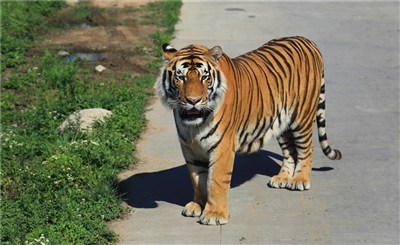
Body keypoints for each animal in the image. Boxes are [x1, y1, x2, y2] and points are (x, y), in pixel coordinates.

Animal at [155, 36, 340, 226]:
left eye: (204, 77)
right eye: (180, 77)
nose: (193, 101)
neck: (194, 126)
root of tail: (307, 40)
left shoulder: (222, 146)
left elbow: (216, 181)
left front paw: (214, 214)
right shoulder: (190, 148)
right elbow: (197, 179)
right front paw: (197, 205)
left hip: (302, 117)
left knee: (307, 148)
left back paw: (299, 180)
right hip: (282, 123)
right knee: (290, 151)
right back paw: (282, 179)